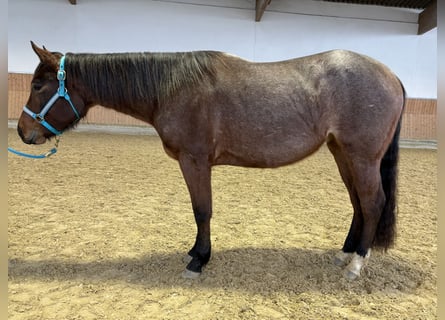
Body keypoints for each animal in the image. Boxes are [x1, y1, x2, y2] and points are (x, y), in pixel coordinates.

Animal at [18, 42, 406, 280]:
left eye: (38, 85)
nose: (23, 132)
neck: (173, 89)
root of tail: (391, 75)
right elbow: (199, 210)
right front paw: (195, 252)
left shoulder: (194, 161)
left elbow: (201, 209)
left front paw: (198, 260)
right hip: (343, 153)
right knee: (357, 202)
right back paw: (345, 254)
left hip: (361, 156)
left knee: (372, 202)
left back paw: (356, 265)